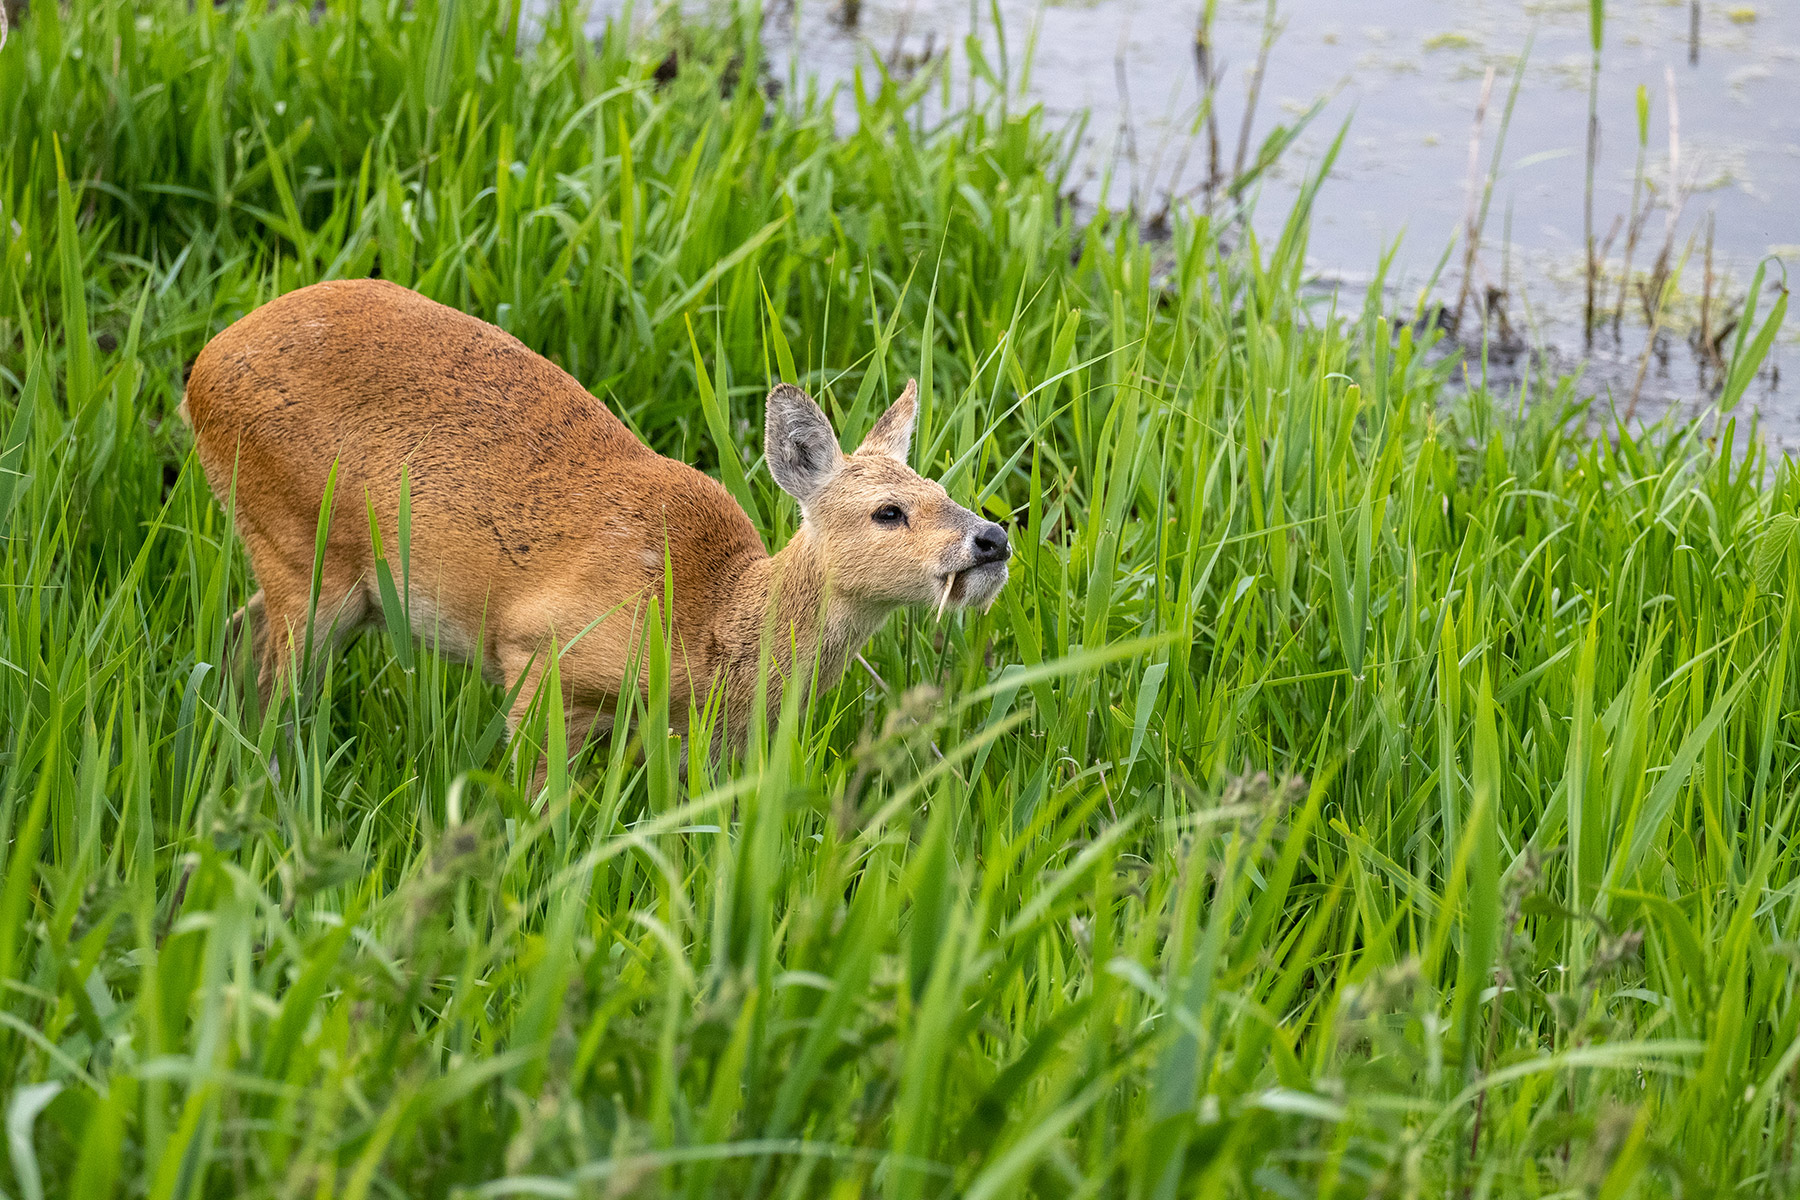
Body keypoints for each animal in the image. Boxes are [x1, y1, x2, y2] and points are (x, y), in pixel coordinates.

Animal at [182, 278, 1015, 755]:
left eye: (943, 486)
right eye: (888, 511)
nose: (993, 537)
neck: (711, 624)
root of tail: (200, 368)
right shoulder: (538, 653)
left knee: (239, 634)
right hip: (299, 544)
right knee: (275, 678)